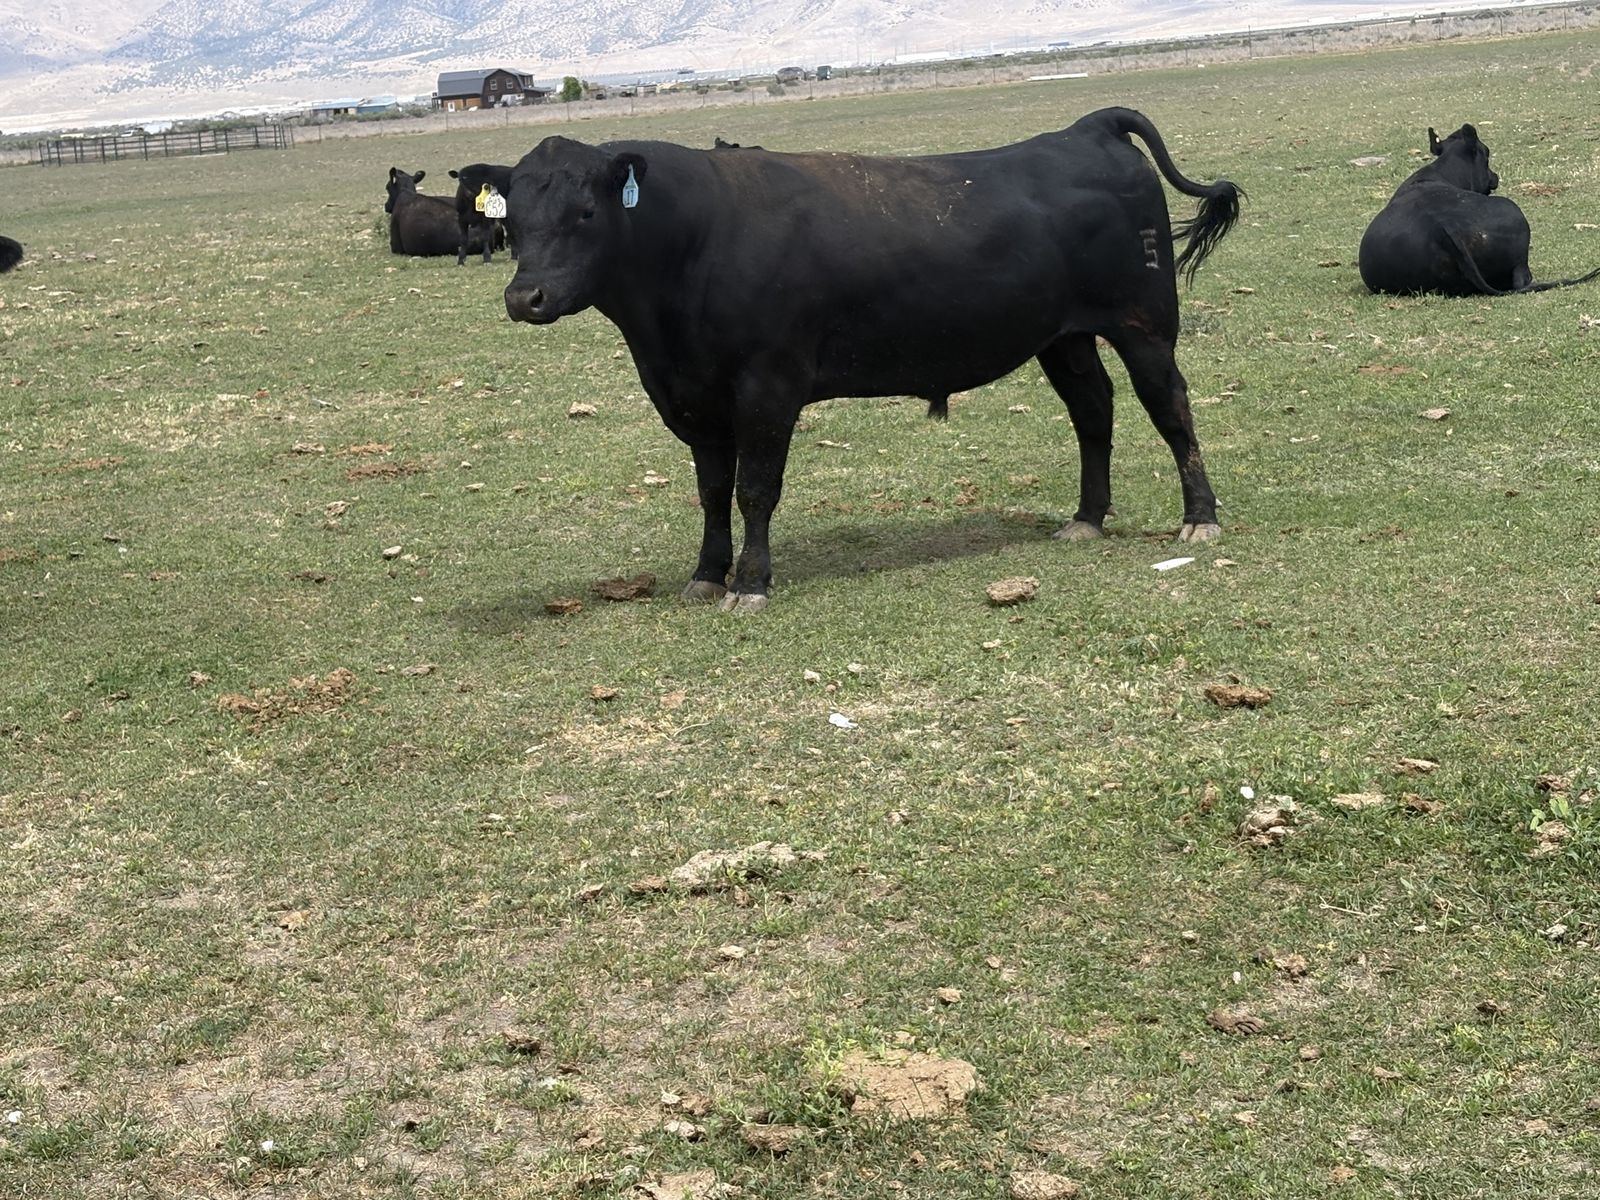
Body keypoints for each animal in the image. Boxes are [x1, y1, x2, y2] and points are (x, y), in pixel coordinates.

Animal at [503, 106, 1242, 612]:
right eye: (510, 218)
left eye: (587, 211)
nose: (524, 296)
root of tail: (1088, 128)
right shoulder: (693, 397)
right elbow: (712, 492)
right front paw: (707, 575)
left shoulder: (768, 386)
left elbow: (754, 489)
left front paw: (751, 583)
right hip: (1062, 338)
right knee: (1094, 412)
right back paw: (1086, 519)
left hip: (1145, 325)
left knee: (1171, 408)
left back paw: (1200, 519)